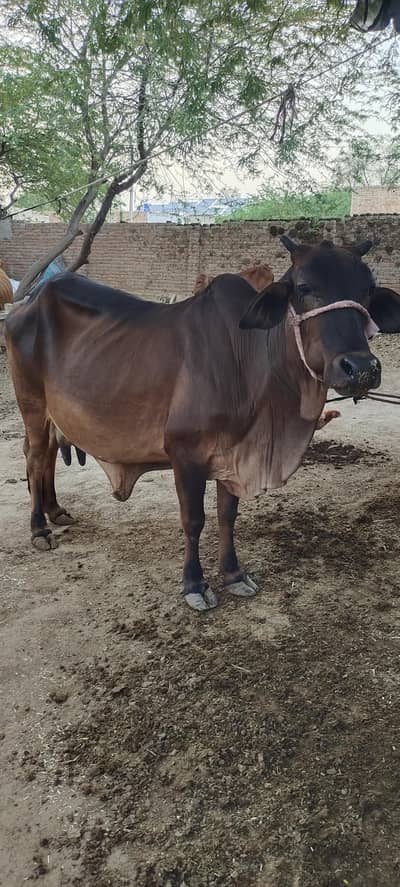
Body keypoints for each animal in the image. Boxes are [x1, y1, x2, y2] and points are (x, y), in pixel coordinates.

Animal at [5, 236, 381, 611]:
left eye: (367, 289)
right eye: (304, 287)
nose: (361, 367)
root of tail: (28, 301)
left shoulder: (234, 452)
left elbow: (227, 515)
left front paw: (234, 574)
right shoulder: (185, 454)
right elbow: (194, 520)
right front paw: (195, 585)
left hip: (52, 415)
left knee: (47, 453)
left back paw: (55, 511)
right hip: (32, 404)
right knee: (35, 457)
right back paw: (39, 529)